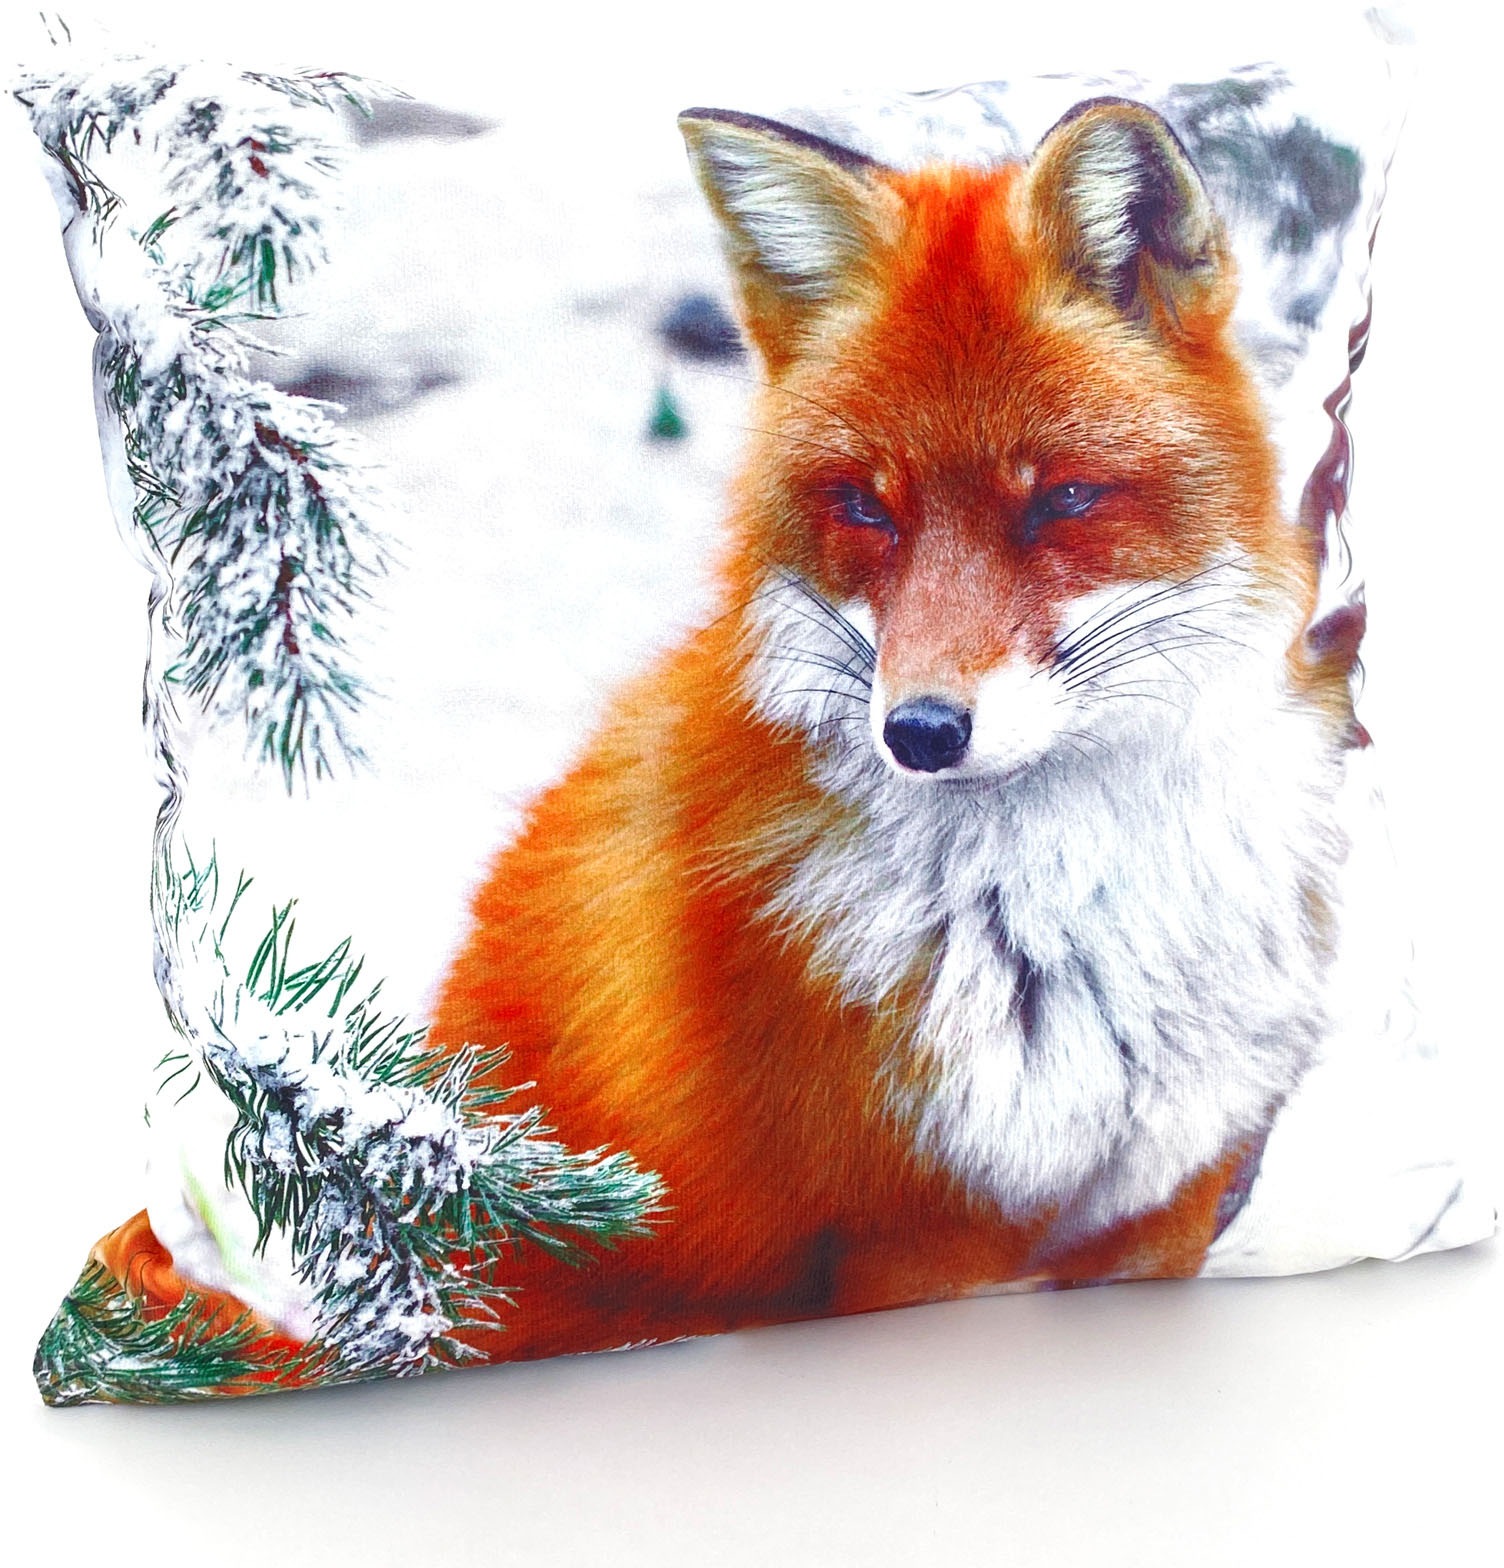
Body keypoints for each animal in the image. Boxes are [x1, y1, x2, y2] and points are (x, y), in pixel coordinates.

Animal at [96, 97, 1357, 1368]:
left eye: (1059, 499)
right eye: (864, 506)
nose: (921, 731)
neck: (1075, 920)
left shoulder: (1167, 1201)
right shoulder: (908, 1237)